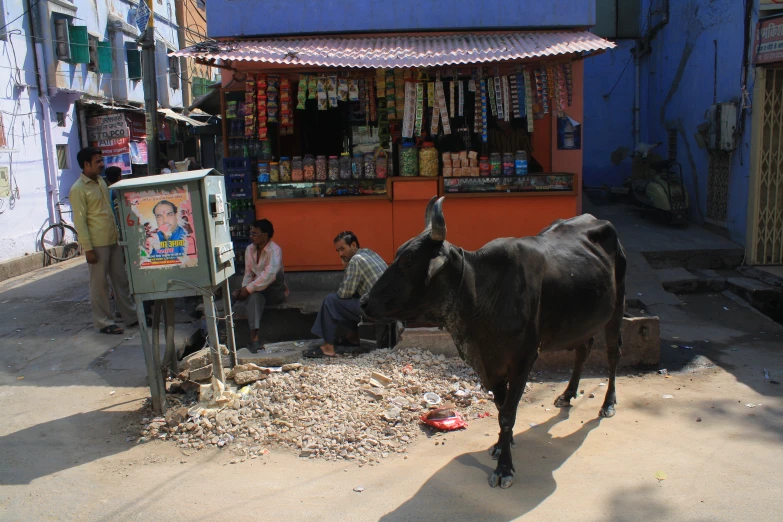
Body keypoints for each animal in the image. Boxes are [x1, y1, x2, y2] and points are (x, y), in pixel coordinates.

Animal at [362, 195, 632, 488]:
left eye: (409, 260)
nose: (363, 301)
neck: (483, 293)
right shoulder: (487, 367)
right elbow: (502, 408)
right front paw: (502, 444)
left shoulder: (524, 359)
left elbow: (507, 413)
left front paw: (504, 467)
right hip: (583, 320)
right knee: (583, 349)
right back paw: (568, 394)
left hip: (617, 307)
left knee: (613, 352)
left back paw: (608, 403)